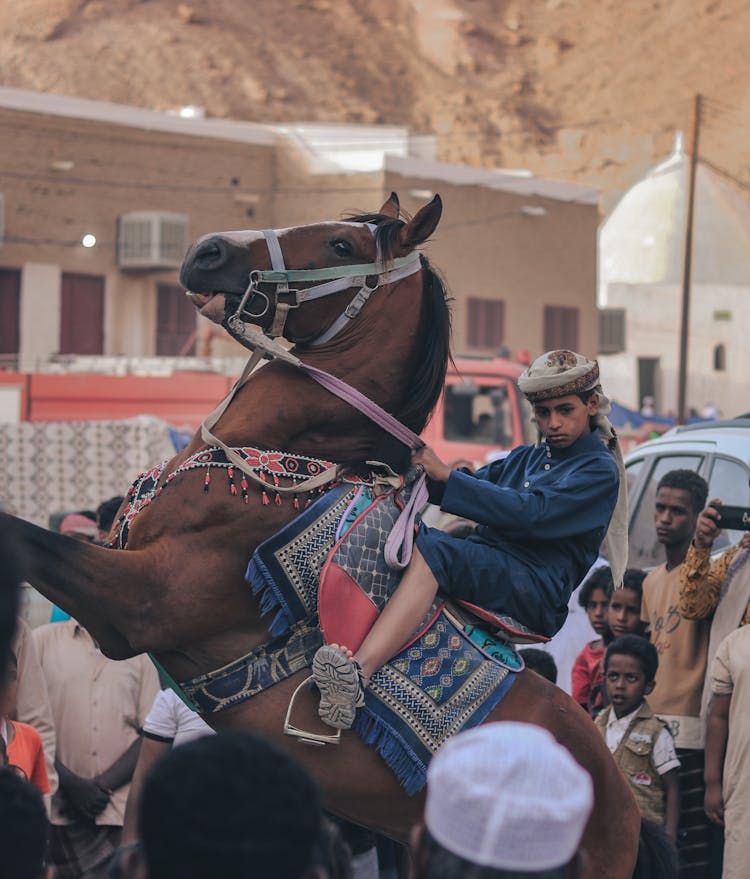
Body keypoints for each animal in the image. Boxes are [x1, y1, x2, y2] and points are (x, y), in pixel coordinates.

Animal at [2, 196, 644, 876]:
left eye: (341, 245)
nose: (206, 251)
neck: (279, 463)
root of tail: (621, 806)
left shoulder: (138, 604)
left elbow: (24, 539)